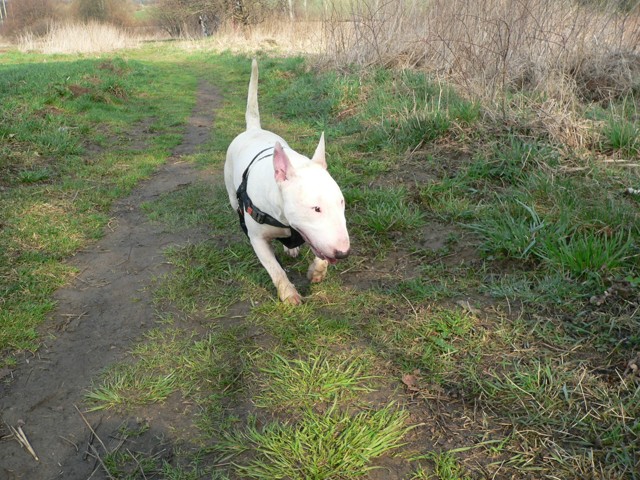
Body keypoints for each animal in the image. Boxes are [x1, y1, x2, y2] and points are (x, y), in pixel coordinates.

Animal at [224, 59, 350, 304]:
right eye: (316, 208)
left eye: (341, 203)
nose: (343, 253)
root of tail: (253, 129)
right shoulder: (257, 239)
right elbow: (274, 268)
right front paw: (289, 294)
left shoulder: (315, 236)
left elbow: (320, 251)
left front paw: (317, 271)